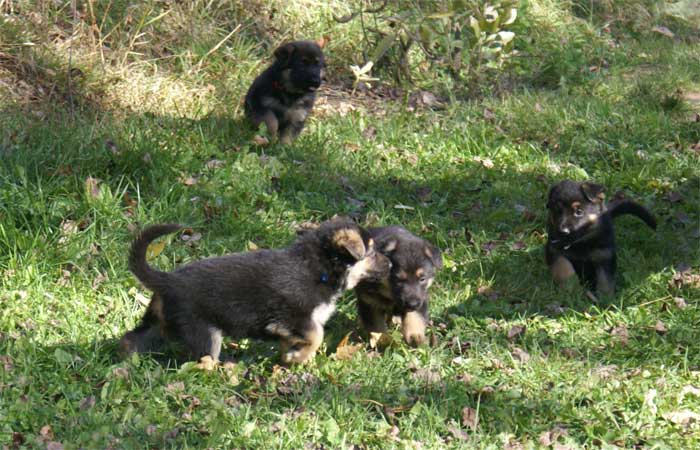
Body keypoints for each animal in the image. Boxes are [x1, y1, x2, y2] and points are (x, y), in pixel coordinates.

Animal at [121, 219, 394, 366]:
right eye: (371, 252)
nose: (391, 265)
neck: (319, 267)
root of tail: (167, 280)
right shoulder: (295, 316)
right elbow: (317, 334)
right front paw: (298, 357)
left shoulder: (292, 326)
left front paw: (290, 358)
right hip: (205, 333)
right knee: (205, 359)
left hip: (158, 323)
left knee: (132, 339)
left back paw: (126, 362)